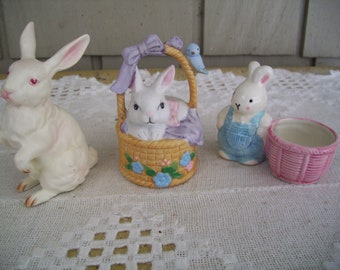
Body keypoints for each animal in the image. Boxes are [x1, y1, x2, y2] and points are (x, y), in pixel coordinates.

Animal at [0, 22, 98, 207]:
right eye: (9, 72)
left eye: (33, 81)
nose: (6, 91)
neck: (21, 108)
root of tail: (86, 166)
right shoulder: (7, 136)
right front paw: (27, 168)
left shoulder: (42, 138)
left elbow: (21, 156)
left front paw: (26, 166)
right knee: (35, 178)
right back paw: (24, 183)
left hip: (56, 174)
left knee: (54, 189)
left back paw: (33, 198)